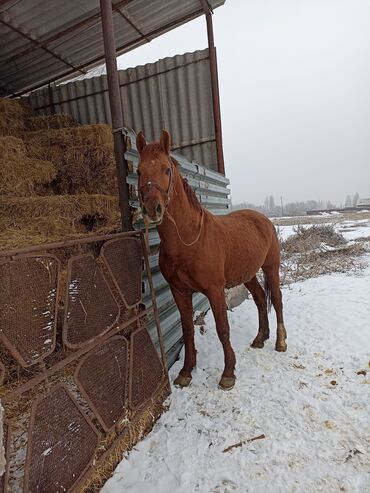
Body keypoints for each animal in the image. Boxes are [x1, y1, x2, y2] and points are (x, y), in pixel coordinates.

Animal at [136, 130, 286, 388]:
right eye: (138, 171)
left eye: (167, 169)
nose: (152, 209)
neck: (188, 242)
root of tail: (263, 219)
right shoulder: (179, 292)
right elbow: (187, 330)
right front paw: (186, 371)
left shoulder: (215, 290)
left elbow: (223, 329)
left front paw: (228, 373)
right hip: (247, 274)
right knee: (259, 298)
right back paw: (260, 338)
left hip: (271, 267)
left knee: (276, 299)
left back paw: (280, 342)